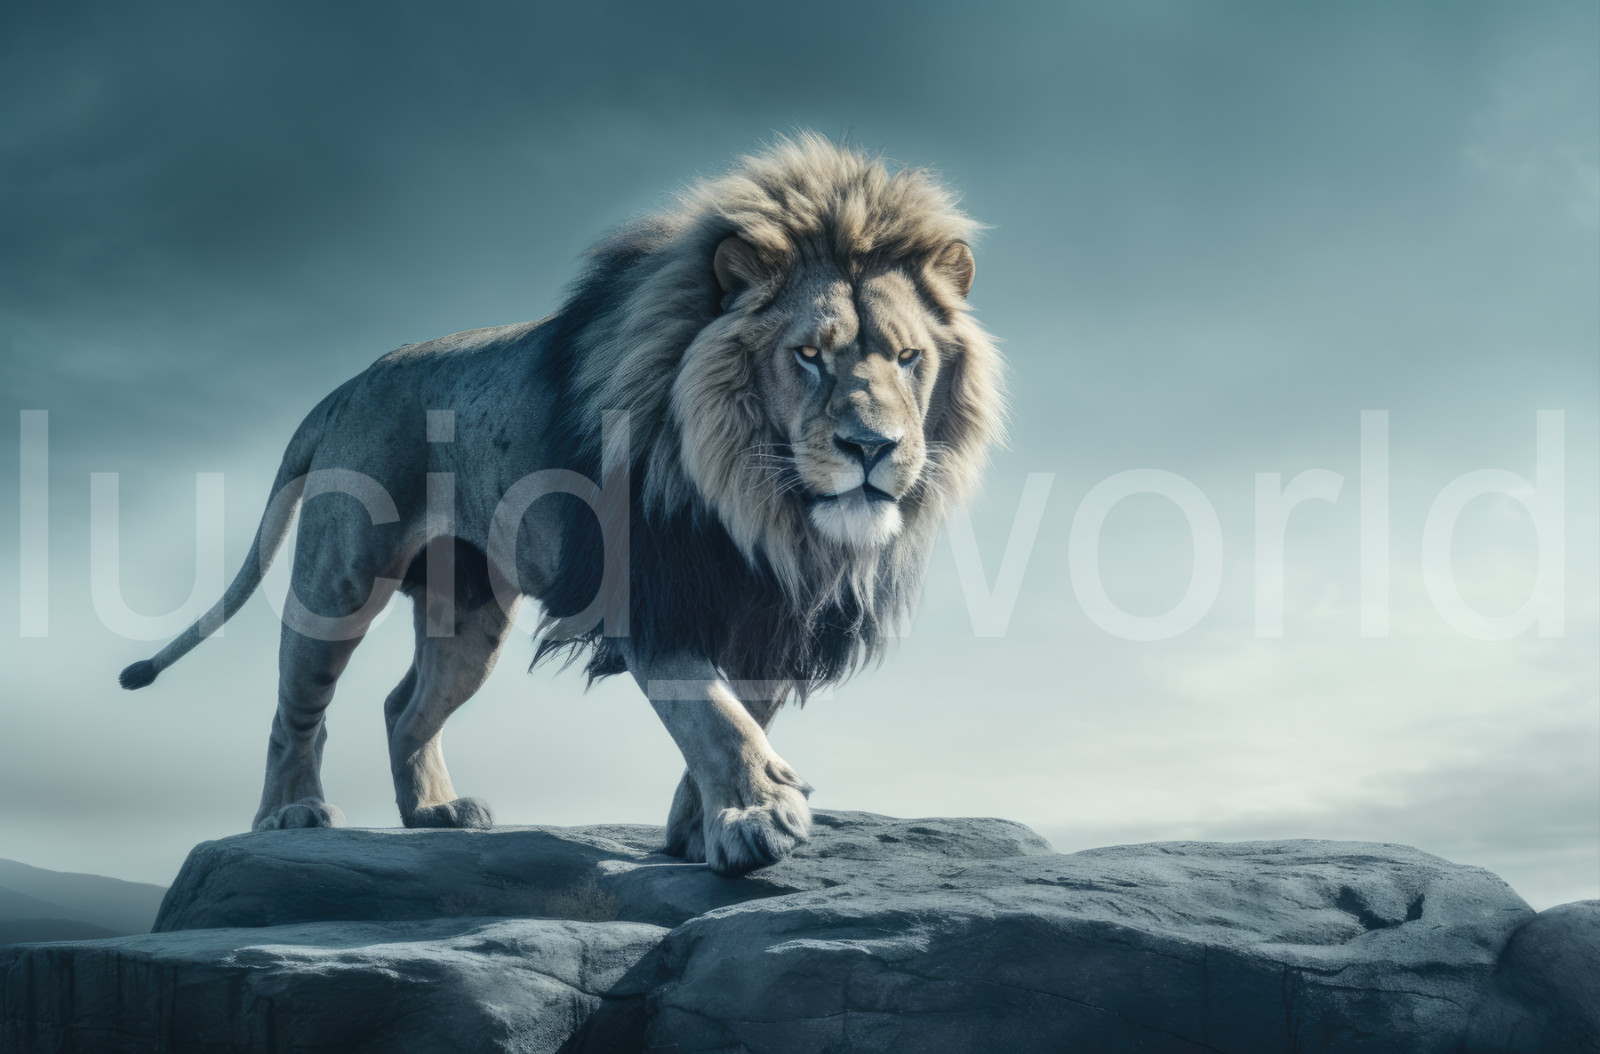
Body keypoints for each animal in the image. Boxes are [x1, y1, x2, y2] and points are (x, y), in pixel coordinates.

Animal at [118, 134, 1004, 875]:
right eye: (810, 355)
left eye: (909, 357)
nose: (872, 448)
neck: (760, 504)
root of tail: (350, 383)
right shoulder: (651, 592)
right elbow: (712, 717)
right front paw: (756, 815)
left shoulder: (764, 611)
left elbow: (738, 717)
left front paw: (700, 828)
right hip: (340, 577)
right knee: (297, 704)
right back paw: (289, 813)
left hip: (468, 616)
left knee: (405, 704)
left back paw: (434, 811)